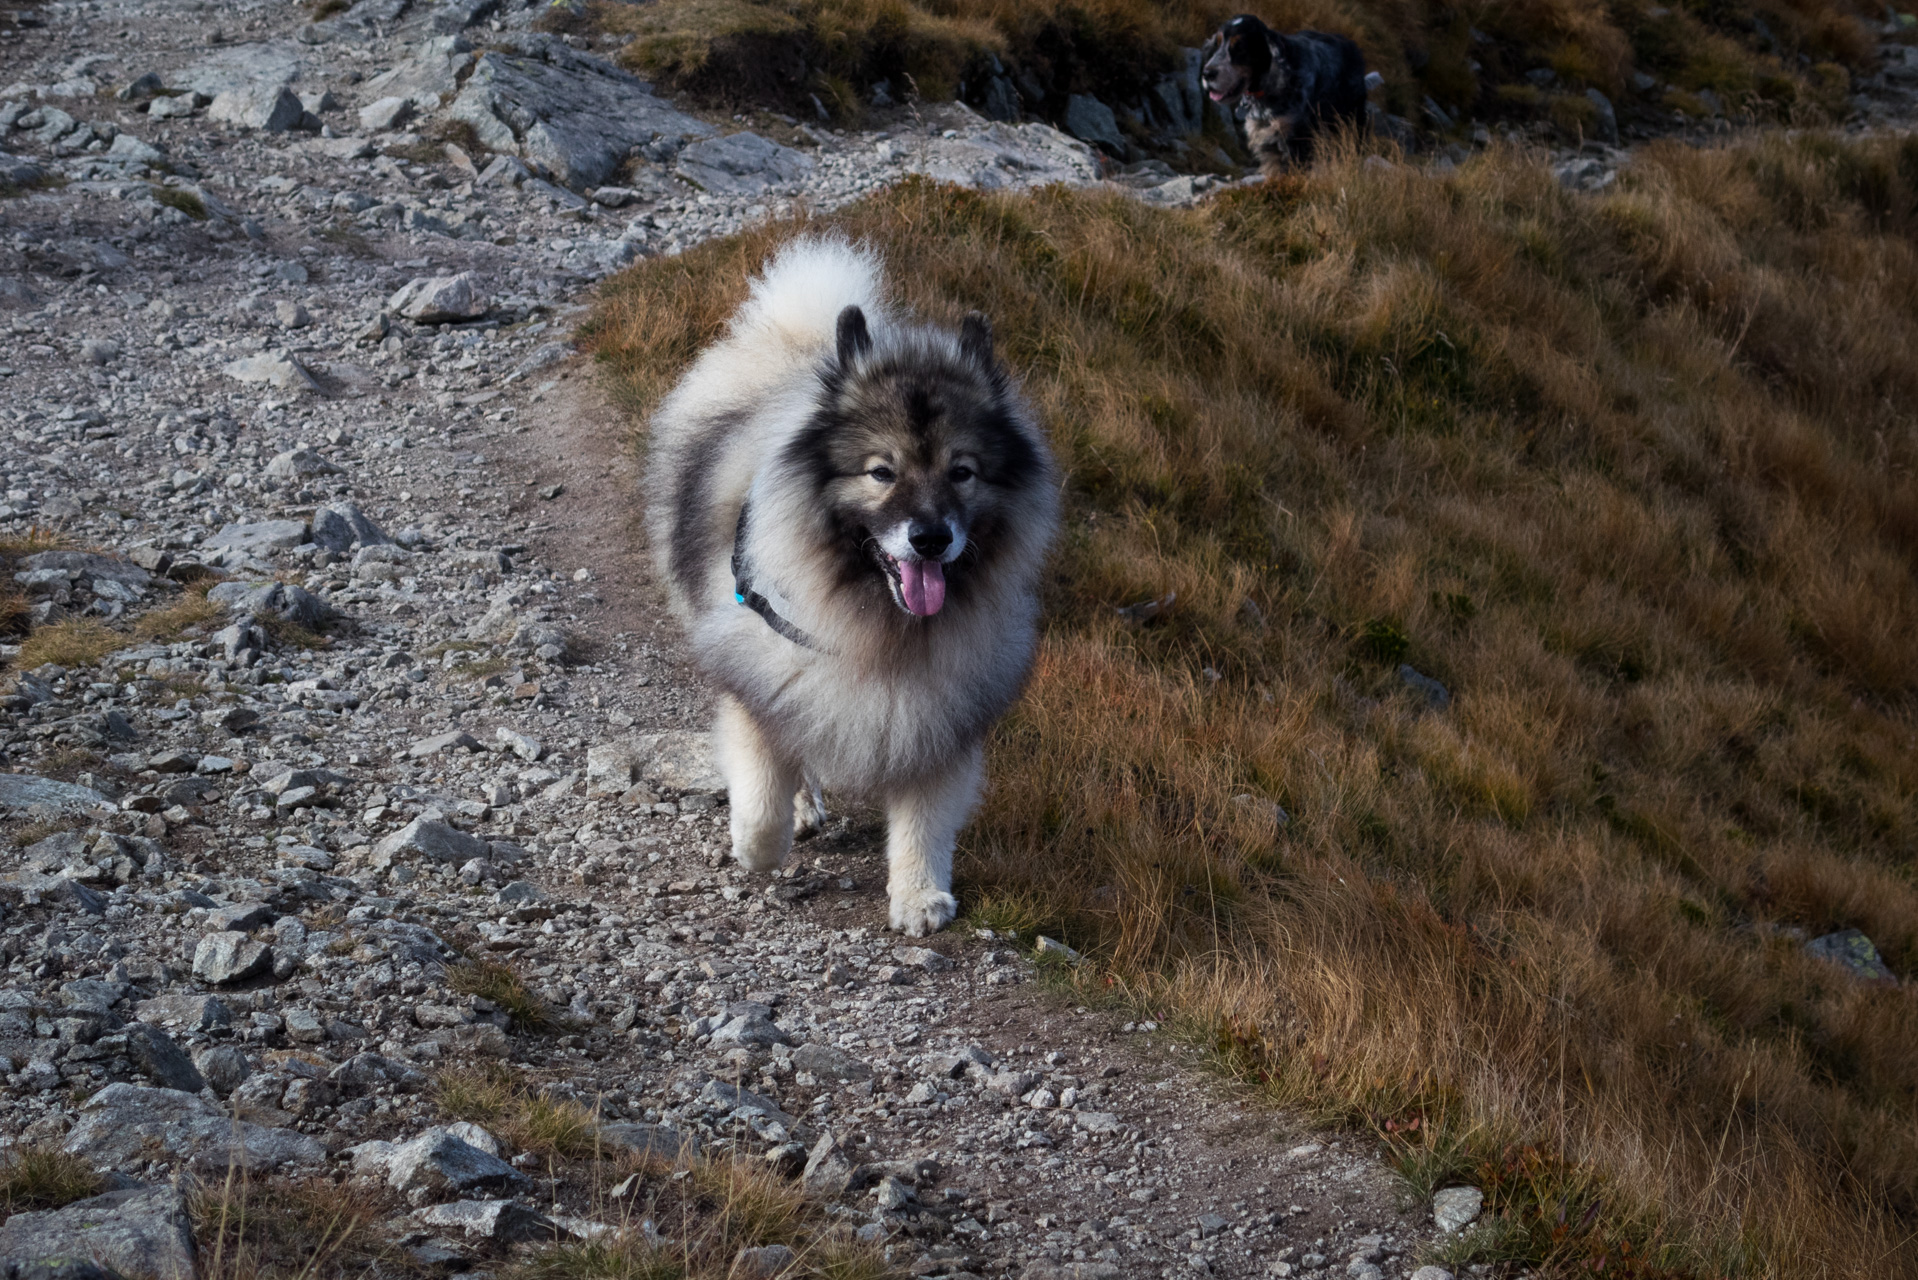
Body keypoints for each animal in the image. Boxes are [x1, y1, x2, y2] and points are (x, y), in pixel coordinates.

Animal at [644, 239, 1066, 936]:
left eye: (963, 472)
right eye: (881, 472)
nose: (930, 538)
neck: (881, 622)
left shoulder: (941, 707)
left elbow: (924, 818)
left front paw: (919, 896)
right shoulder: (759, 675)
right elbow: (761, 796)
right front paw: (760, 845)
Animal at [1204, 14, 1373, 175]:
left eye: (1240, 47)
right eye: (1217, 45)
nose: (1207, 73)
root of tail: (1351, 45)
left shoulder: (1296, 139)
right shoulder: (1268, 142)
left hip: (1350, 120)